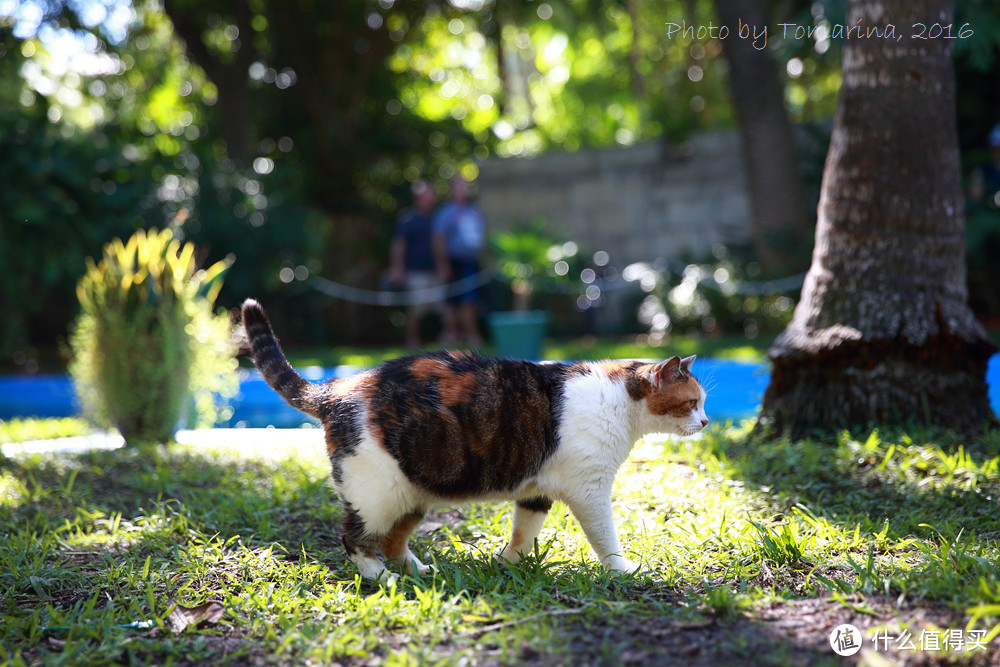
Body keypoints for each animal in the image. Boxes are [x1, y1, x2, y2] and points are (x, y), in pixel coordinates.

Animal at [242, 300, 712, 580]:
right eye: (692, 403)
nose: (706, 422)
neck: (619, 400)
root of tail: (337, 388)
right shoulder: (590, 490)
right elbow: (606, 538)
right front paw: (623, 569)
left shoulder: (536, 491)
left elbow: (524, 534)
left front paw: (507, 565)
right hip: (376, 493)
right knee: (353, 538)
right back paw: (382, 578)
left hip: (414, 491)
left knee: (393, 540)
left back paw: (419, 571)